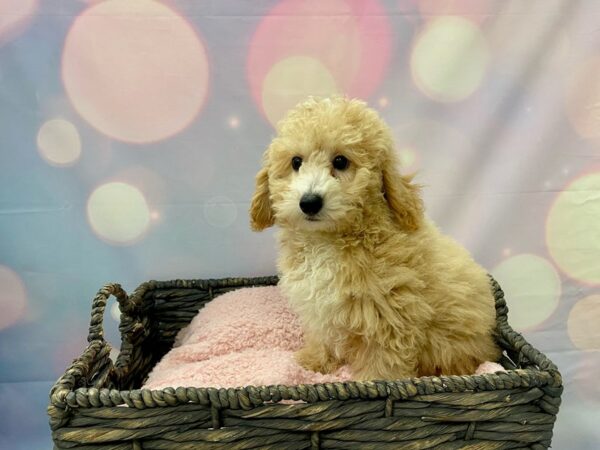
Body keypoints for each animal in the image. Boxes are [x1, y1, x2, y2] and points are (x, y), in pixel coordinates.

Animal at [248, 98, 502, 380]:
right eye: (296, 162)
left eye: (340, 161)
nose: (310, 202)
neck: (327, 240)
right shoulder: (319, 306)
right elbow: (323, 335)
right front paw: (314, 360)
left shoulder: (388, 311)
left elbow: (384, 358)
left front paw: (374, 383)